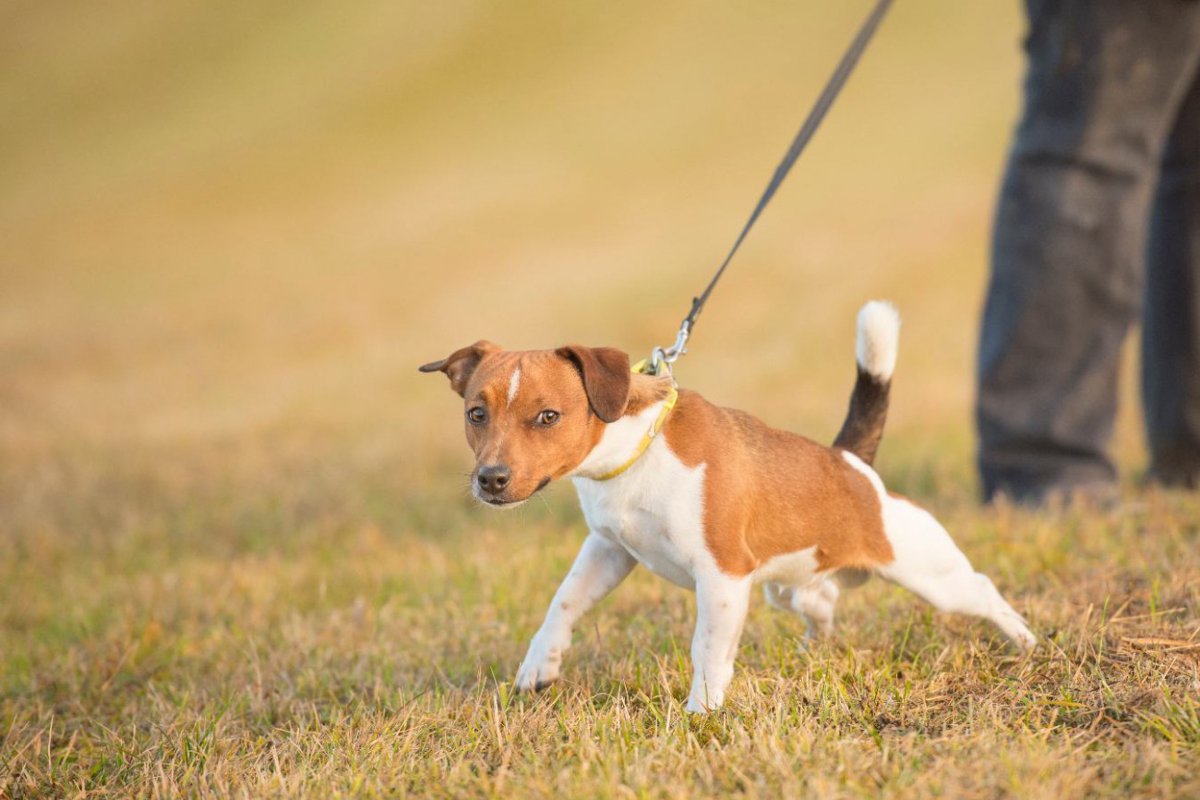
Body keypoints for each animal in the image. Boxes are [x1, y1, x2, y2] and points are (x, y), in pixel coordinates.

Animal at [420, 302, 1032, 714]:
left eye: (548, 416)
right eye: (476, 414)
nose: (491, 480)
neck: (638, 454)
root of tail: (851, 462)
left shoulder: (723, 576)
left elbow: (707, 649)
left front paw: (701, 714)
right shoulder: (610, 551)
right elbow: (563, 603)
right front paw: (538, 666)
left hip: (929, 573)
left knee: (981, 591)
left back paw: (1026, 643)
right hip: (788, 586)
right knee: (824, 602)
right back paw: (814, 651)